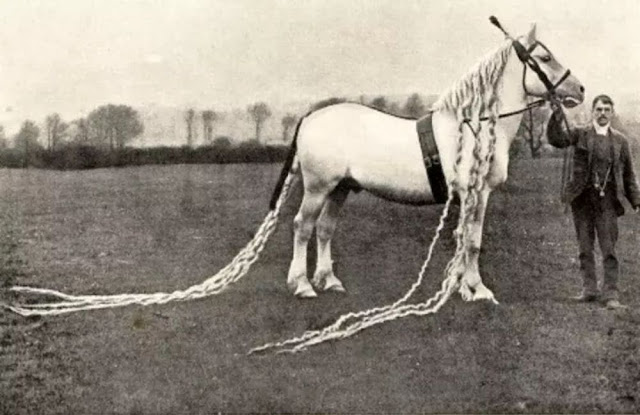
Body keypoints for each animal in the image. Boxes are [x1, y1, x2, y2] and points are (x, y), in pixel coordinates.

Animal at [270, 22, 584, 300]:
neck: (476, 126)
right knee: (302, 226)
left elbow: (467, 239)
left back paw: (329, 281)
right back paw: (302, 285)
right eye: (545, 58)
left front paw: (464, 287)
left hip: (341, 188)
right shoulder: (476, 193)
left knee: (325, 228)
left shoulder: (472, 196)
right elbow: (472, 242)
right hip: (318, 188)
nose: (579, 89)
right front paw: (477, 289)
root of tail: (311, 116)